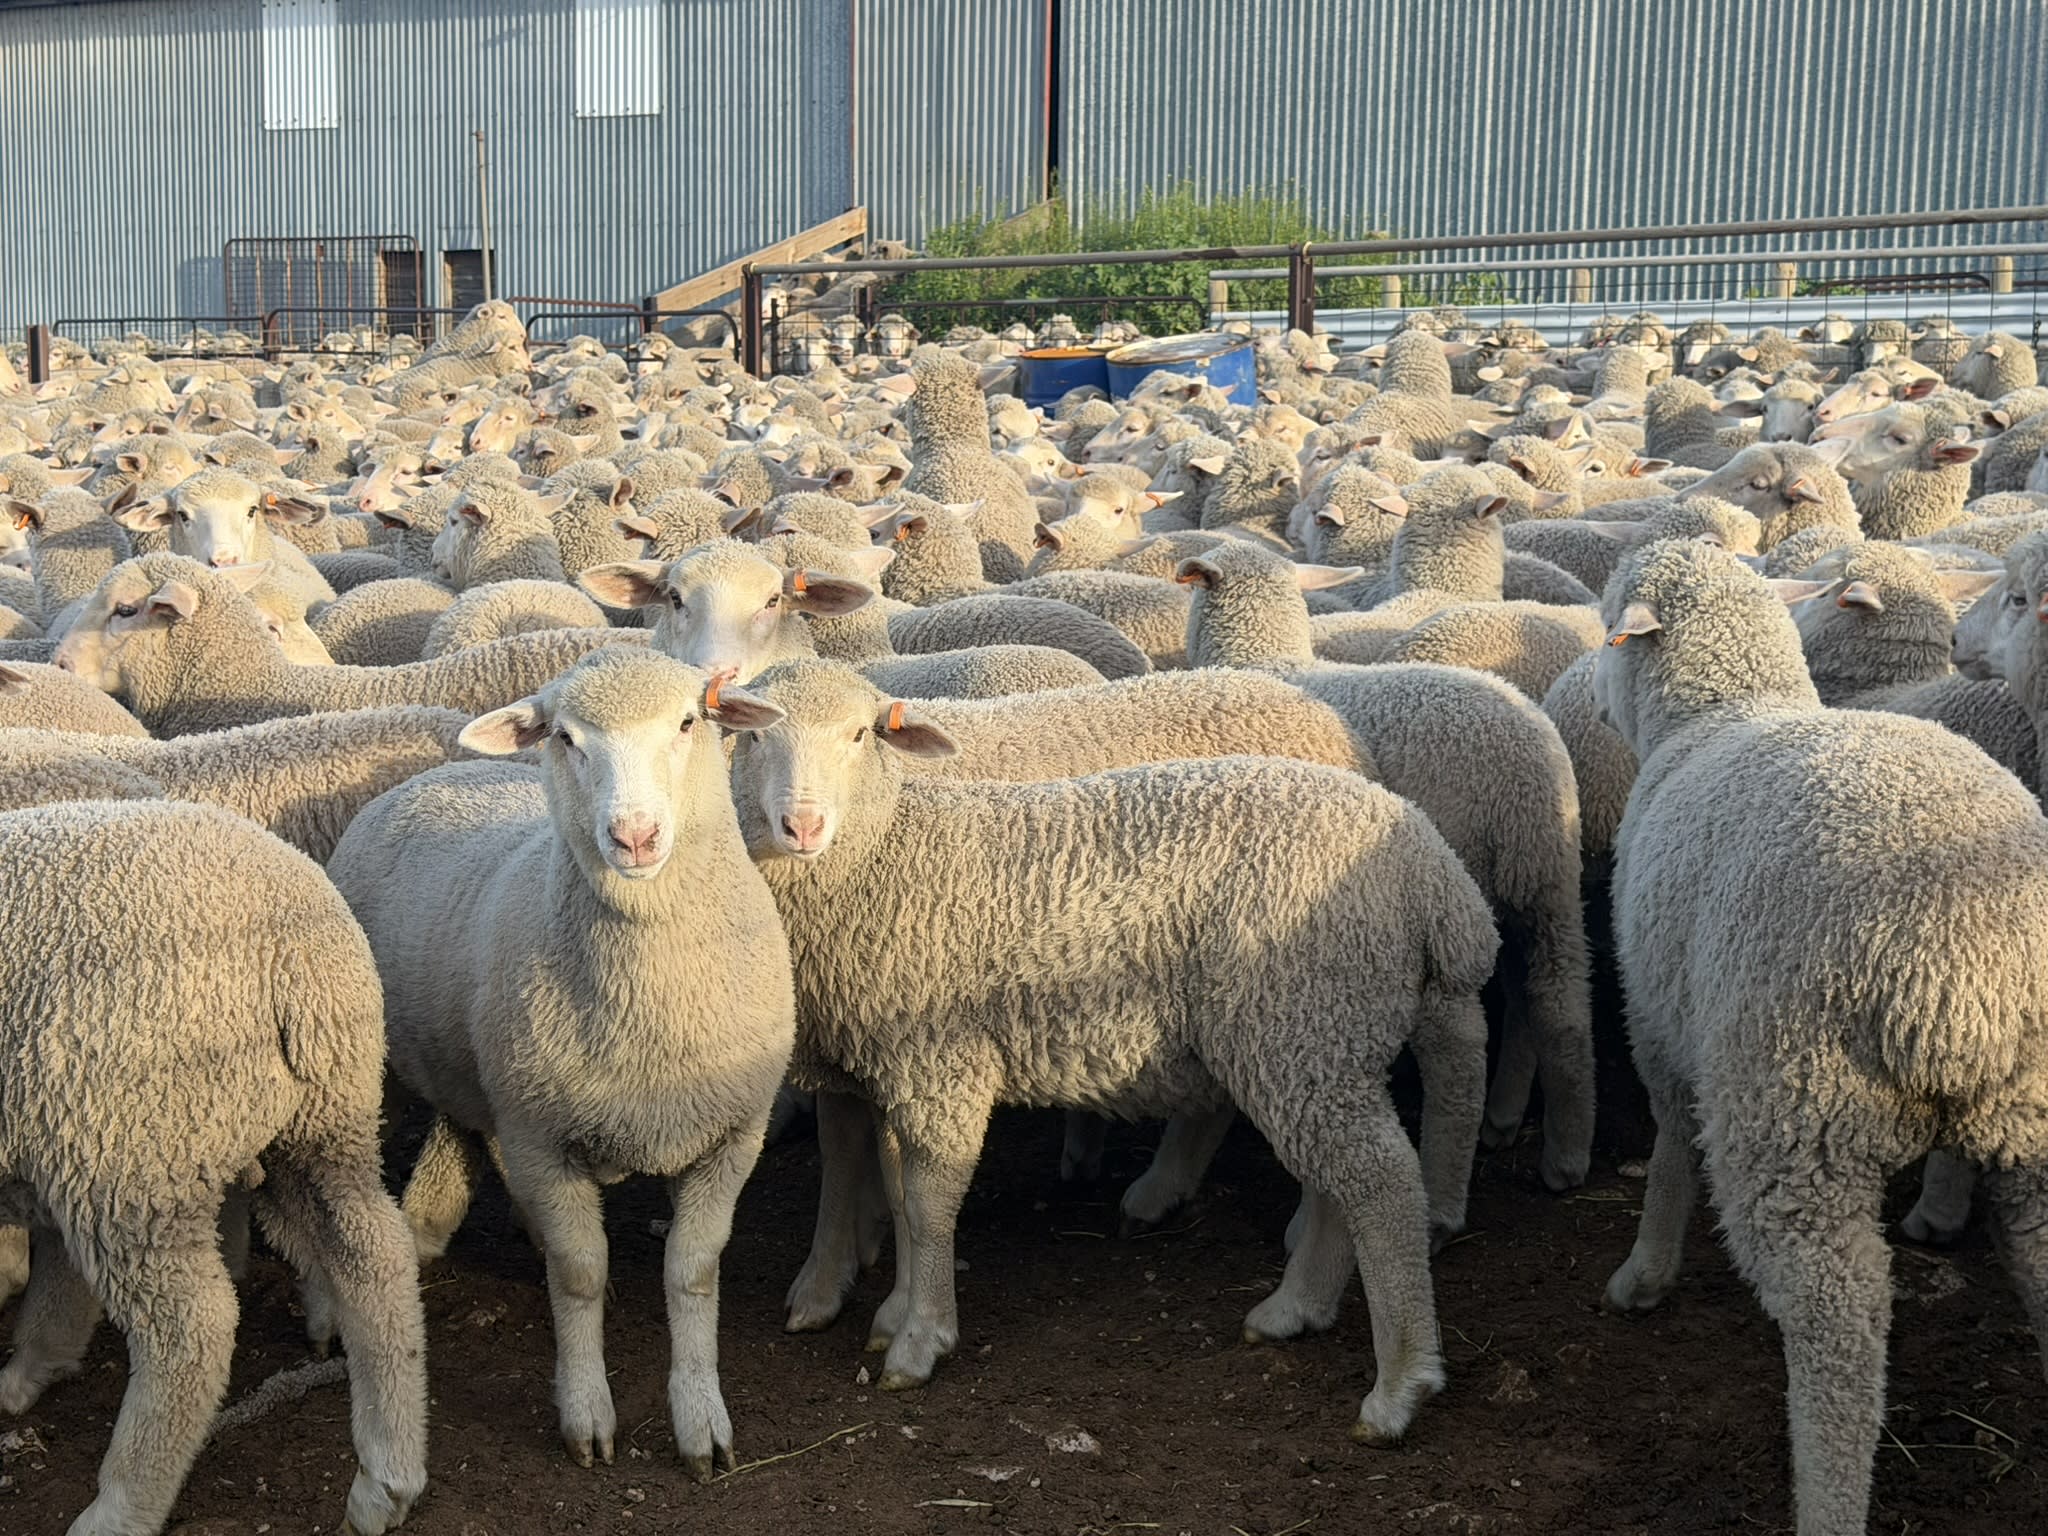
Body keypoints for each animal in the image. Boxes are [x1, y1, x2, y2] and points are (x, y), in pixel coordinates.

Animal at [0, 799, 427, 1536]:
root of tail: (291, 945)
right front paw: (38, 1363)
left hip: (131, 1148)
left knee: (189, 1329)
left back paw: (120, 1506)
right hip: (317, 1116)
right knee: (373, 1255)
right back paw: (386, 1477)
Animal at [327, 649, 794, 1475]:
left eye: (688, 721)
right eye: (567, 738)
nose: (634, 837)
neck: (653, 1004)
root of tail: (438, 772)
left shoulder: (732, 1137)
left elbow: (693, 1271)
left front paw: (702, 1421)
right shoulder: (544, 1137)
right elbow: (580, 1274)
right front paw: (587, 1416)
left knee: (470, 1132)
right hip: (381, 1068)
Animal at [731, 657, 1496, 1445]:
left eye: (860, 735)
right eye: (750, 736)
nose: (802, 825)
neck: (887, 850)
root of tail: (1432, 869)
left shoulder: (942, 1063)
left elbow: (929, 1202)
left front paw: (919, 1339)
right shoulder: (891, 1061)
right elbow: (894, 1187)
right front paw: (888, 1311)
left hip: (1304, 1024)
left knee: (1383, 1182)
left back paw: (1399, 1385)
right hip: (1311, 1038)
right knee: (1340, 1175)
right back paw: (1297, 1308)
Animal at [1591, 536, 2048, 1536]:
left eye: (1609, 622)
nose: (1594, 700)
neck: (1719, 713)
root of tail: (1969, 971)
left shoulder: (1658, 1020)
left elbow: (1671, 1148)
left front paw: (1644, 1272)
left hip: (1794, 1114)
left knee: (1838, 1324)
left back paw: (1828, 1497)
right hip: (2031, 1123)